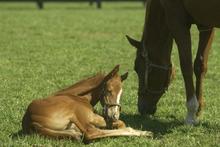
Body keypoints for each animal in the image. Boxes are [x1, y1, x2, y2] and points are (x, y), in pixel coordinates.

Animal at [22, 65, 153, 142]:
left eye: (121, 93)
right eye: (109, 90)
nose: (114, 115)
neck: (79, 97)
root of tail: (30, 119)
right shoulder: (92, 116)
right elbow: (122, 123)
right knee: (91, 133)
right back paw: (144, 132)